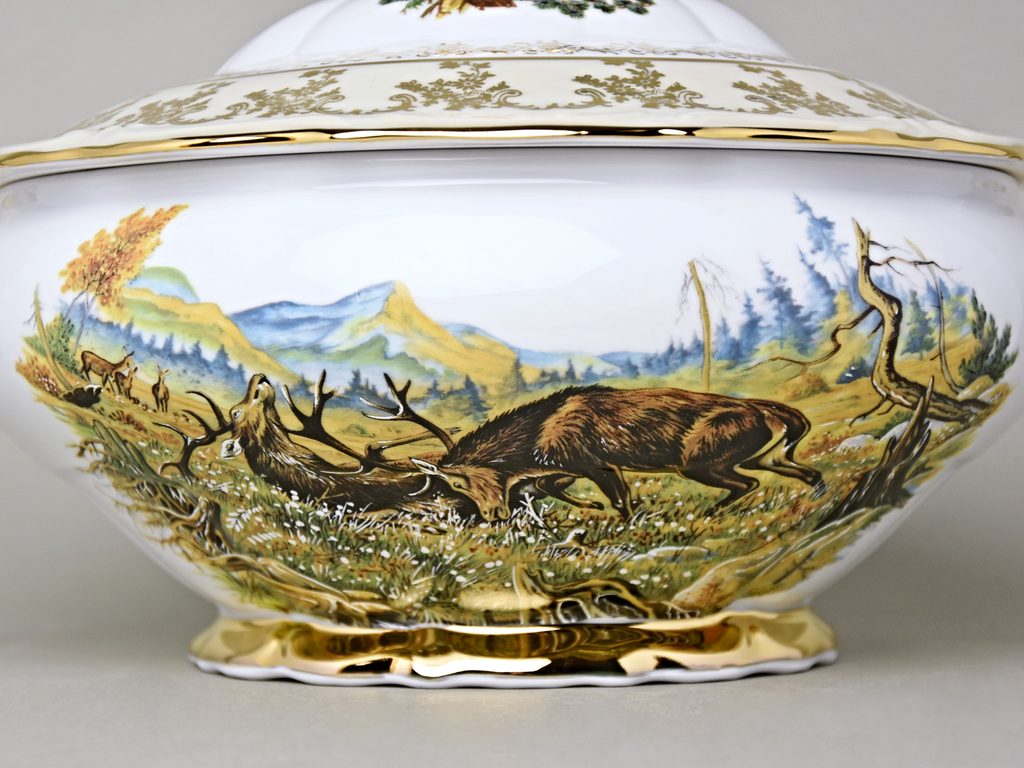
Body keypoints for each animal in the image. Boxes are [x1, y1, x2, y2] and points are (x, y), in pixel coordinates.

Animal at [379, 380, 824, 522]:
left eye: (457, 481)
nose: (492, 515)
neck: (532, 446)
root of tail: (769, 410)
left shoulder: (593, 462)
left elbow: (622, 500)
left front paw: (624, 524)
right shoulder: (566, 467)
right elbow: (545, 488)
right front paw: (590, 508)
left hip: (702, 459)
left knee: (747, 484)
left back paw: (711, 513)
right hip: (764, 454)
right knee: (806, 470)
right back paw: (823, 503)